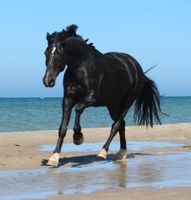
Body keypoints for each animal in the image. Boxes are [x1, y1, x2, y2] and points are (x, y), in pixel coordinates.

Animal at [43, 25, 161, 166]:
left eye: (59, 54)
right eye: (45, 53)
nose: (47, 81)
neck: (81, 67)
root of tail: (137, 68)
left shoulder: (92, 98)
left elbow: (78, 109)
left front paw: (78, 137)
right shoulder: (67, 99)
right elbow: (62, 128)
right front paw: (54, 157)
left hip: (127, 101)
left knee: (116, 125)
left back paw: (103, 152)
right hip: (113, 105)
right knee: (121, 124)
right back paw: (121, 153)